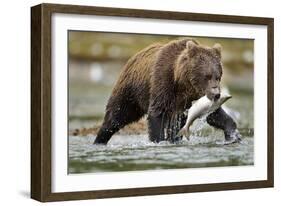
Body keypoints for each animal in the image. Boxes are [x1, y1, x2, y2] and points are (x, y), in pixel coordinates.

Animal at [93, 39, 241, 145]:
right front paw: (159, 140)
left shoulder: (194, 97)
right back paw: (99, 140)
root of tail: (132, 58)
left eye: (218, 76)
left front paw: (234, 136)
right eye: (207, 76)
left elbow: (214, 114)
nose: (216, 94)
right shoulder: (163, 83)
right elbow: (157, 114)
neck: (183, 84)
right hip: (131, 91)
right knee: (116, 116)